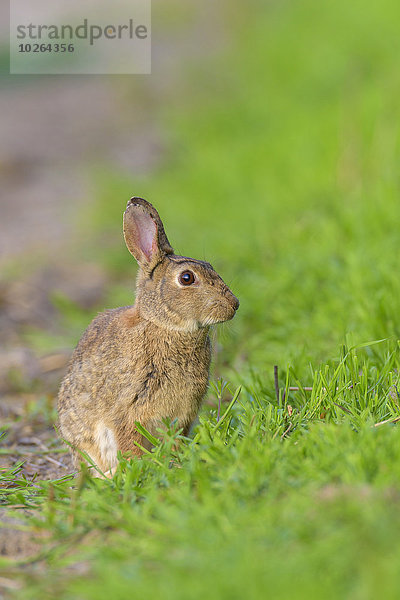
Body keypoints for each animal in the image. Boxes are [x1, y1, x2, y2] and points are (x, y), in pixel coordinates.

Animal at [56, 199, 238, 476]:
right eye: (187, 278)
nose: (234, 305)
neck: (164, 326)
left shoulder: (184, 412)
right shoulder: (126, 410)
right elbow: (129, 442)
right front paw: (138, 467)